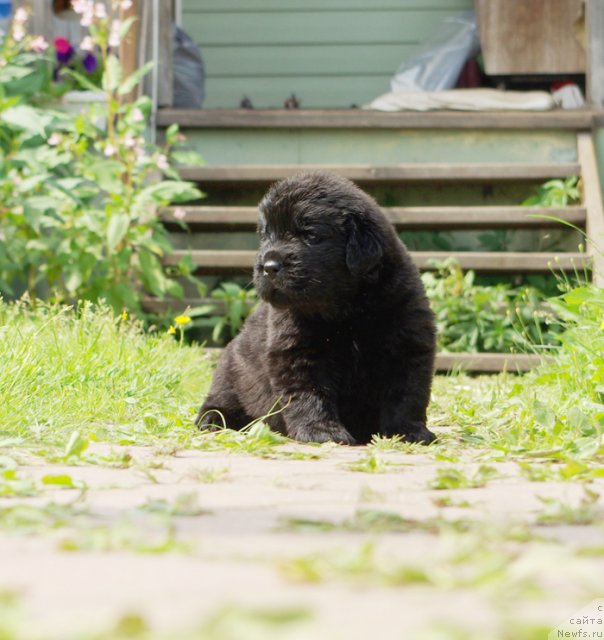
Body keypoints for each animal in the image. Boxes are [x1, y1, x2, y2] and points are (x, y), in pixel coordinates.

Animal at [196, 172, 436, 448]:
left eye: (309, 235)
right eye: (266, 234)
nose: (268, 266)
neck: (348, 312)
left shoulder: (408, 343)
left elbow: (406, 395)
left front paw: (409, 431)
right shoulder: (298, 353)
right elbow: (310, 395)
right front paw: (322, 432)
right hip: (232, 372)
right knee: (221, 401)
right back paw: (212, 419)